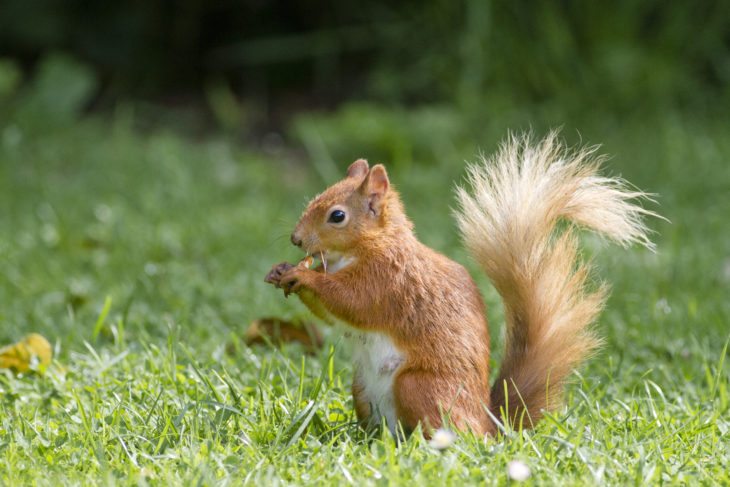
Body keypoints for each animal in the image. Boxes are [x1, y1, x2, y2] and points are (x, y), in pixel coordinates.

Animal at [264, 132, 656, 438]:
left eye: (337, 216)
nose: (296, 239)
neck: (371, 246)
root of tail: (488, 424)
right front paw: (282, 270)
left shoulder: (386, 280)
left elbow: (350, 302)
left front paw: (304, 276)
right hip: (361, 388)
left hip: (418, 386)